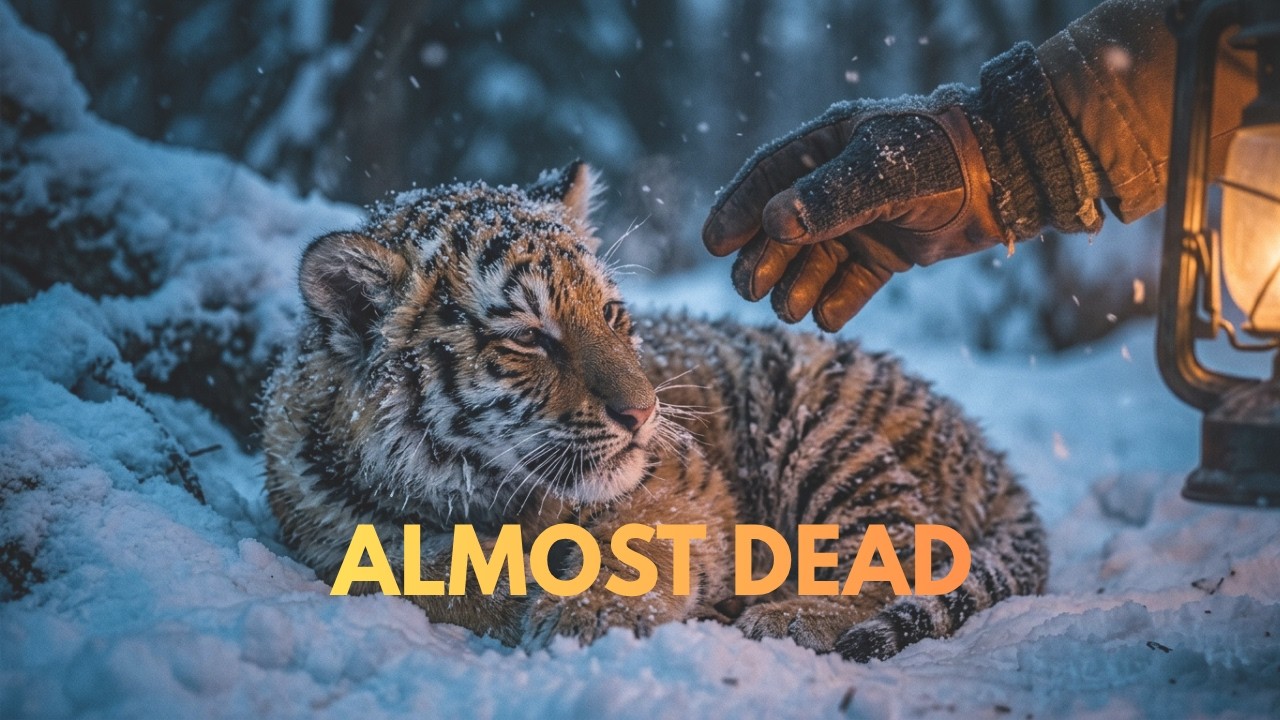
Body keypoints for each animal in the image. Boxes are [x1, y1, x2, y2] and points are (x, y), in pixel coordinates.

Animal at [261, 161, 1048, 661]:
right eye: (529, 337)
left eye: (610, 314)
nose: (641, 414)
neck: (477, 488)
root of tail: (992, 456)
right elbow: (415, 568)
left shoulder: (683, 485)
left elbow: (630, 545)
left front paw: (590, 618)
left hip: (820, 437)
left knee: (907, 551)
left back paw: (786, 615)